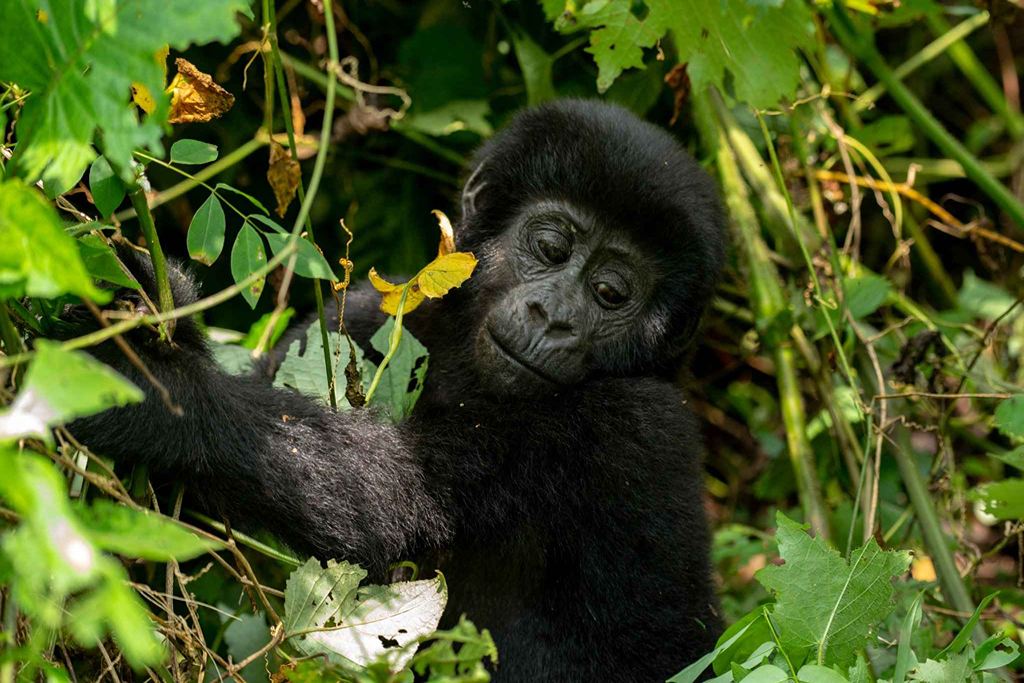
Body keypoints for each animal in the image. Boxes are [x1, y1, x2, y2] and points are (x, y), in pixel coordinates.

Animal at [72, 98, 729, 679]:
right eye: (550, 247)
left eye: (611, 293)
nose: (554, 317)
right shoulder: (362, 320)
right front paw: (155, 310)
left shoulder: (639, 420)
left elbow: (395, 497)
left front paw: (151, 390)